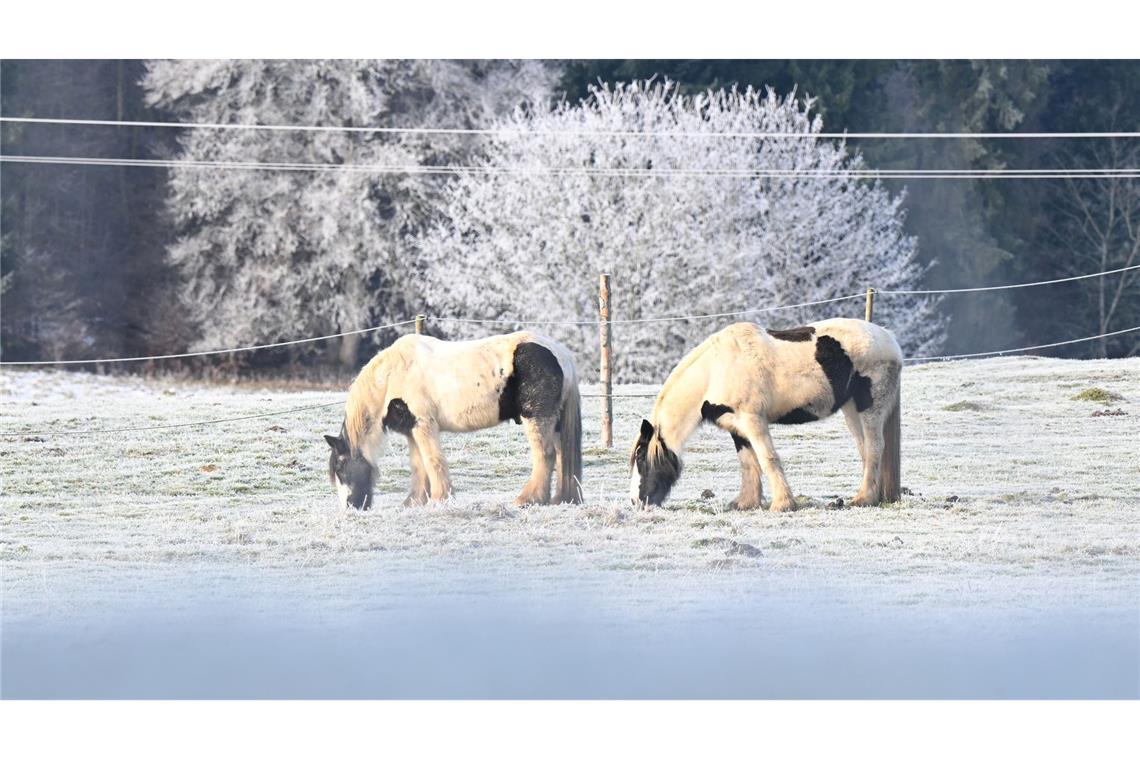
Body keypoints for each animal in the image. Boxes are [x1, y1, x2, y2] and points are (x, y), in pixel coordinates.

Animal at [324, 331, 583, 510]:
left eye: (340, 468)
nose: (351, 508)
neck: (391, 377)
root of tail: (561, 354)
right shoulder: (412, 429)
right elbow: (419, 465)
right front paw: (415, 502)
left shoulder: (423, 424)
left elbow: (433, 461)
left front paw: (440, 499)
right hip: (555, 422)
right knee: (561, 454)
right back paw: (560, 499)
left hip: (536, 418)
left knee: (545, 455)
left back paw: (528, 499)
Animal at [629, 318, 902, 512]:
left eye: (641, 458)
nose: (636, 501)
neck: (716, 371)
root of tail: (889, 338)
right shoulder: (736, 426)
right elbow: (748, 463)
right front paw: (745, 503)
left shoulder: (753, 420)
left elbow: (767, 458)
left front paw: (782, 504)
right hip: (851, 409)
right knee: (865, 449)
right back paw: (869, 496)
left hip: (870, 407)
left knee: (874, 447)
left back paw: (863, 499)